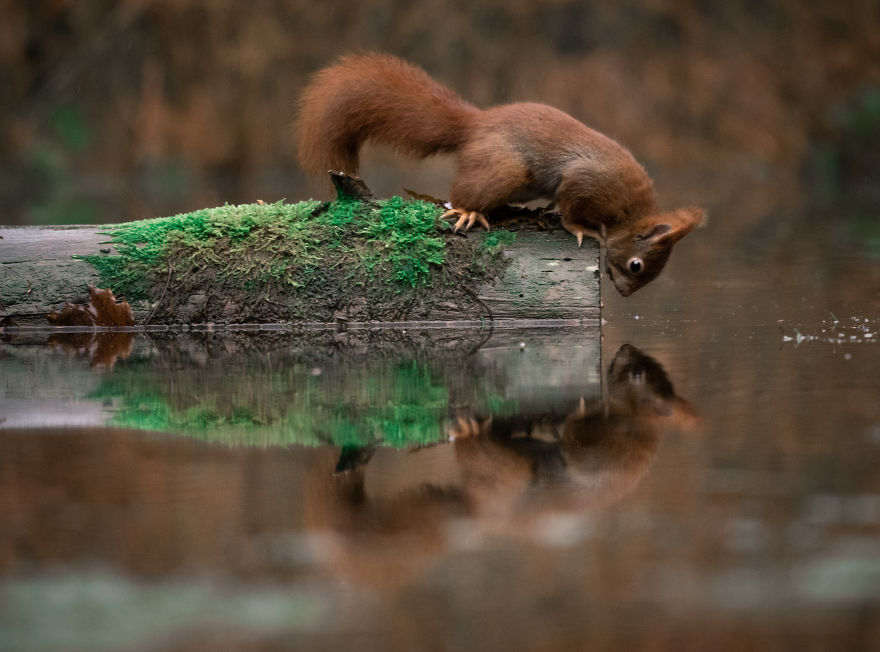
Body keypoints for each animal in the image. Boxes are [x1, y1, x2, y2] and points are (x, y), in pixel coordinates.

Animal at [295, 53, 706, 296]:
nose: (623, 293)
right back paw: (469, 211)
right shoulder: (585, 182)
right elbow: (570, 209)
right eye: (637, 265)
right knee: (463, 192)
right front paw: (581, 228)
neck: (627, 211)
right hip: (506, 169)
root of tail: (474, 126)